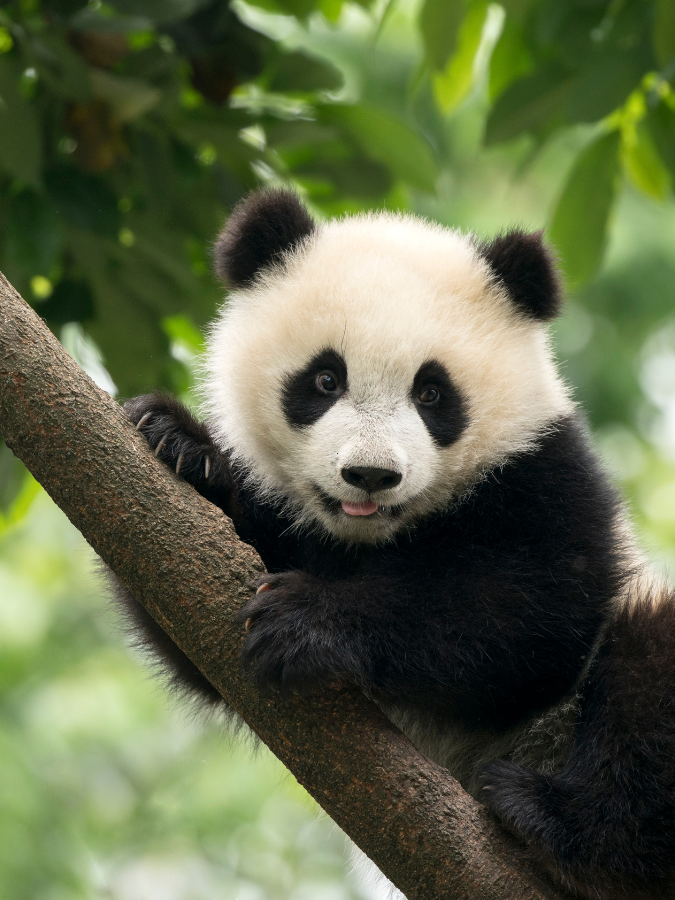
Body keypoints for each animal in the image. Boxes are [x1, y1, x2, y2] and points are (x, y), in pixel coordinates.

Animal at [118, 188, 675, 900]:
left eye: (432, 392)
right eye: (325, 379)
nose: (371, 475)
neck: (372, 537)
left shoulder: (546, 475)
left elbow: (532, 617)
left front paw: (307, 623)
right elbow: (191, 616)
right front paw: (180, 445)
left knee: (646, 675)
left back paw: (552, 819)